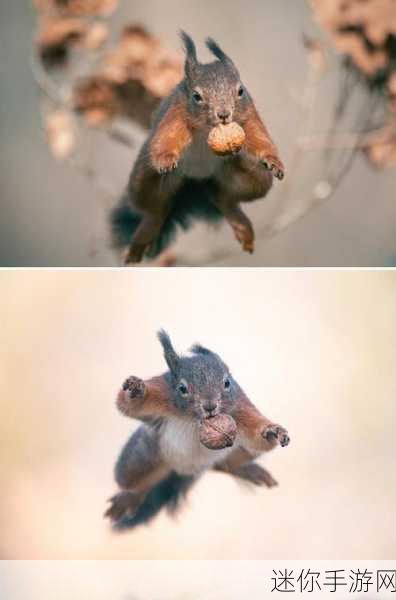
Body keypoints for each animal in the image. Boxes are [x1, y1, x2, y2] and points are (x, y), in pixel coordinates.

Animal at [105, 330, 290, 532]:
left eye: (227, 383)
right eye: (182, 388)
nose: (210, 406)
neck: (197, 420)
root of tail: (183, 470)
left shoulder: (239, 408)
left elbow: (257, 435)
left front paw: (272, 431)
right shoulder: (161, 394)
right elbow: (127, 405)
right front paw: (137, 389)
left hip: (242, 452)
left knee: (225, 465)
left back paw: (246, 470)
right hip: (142, 458)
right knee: (132, 483)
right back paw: (127, 498)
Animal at [110, 31, 284, 264]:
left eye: (240, 91)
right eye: (196, 96)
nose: (224, 114)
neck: (207, 129)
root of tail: (196, 181)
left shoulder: (248, 118)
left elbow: (260, 139)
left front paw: (273, 161)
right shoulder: (175, 116)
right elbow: (166, 140)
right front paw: (166, 158)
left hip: (251, 182)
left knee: (225, 199)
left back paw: (242, 225)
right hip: (143, 181)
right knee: (155, 210)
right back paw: (140, 242)